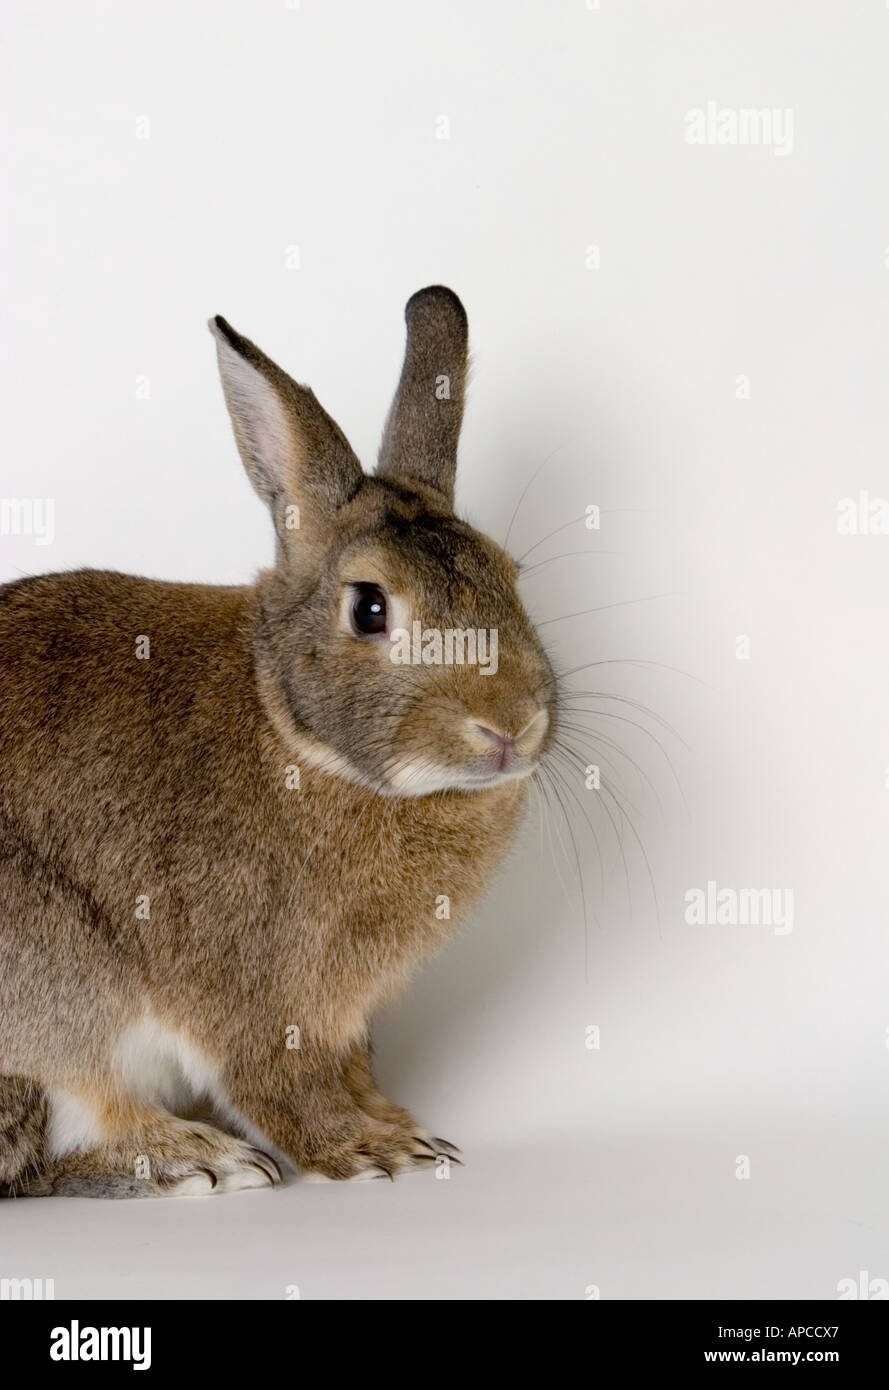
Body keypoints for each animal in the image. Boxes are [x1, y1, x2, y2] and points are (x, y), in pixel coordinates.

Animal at [0, 286, 556, 1197]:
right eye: (370, 607)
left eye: (508, 578)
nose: (512, 724)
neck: (295, 736)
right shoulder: (257, 992)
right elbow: (278, 1082)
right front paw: (368, 1152)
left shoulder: (345, 1021)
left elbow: (351, 1071)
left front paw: (400, 1127)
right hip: (57, 984)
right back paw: (200, 1159)